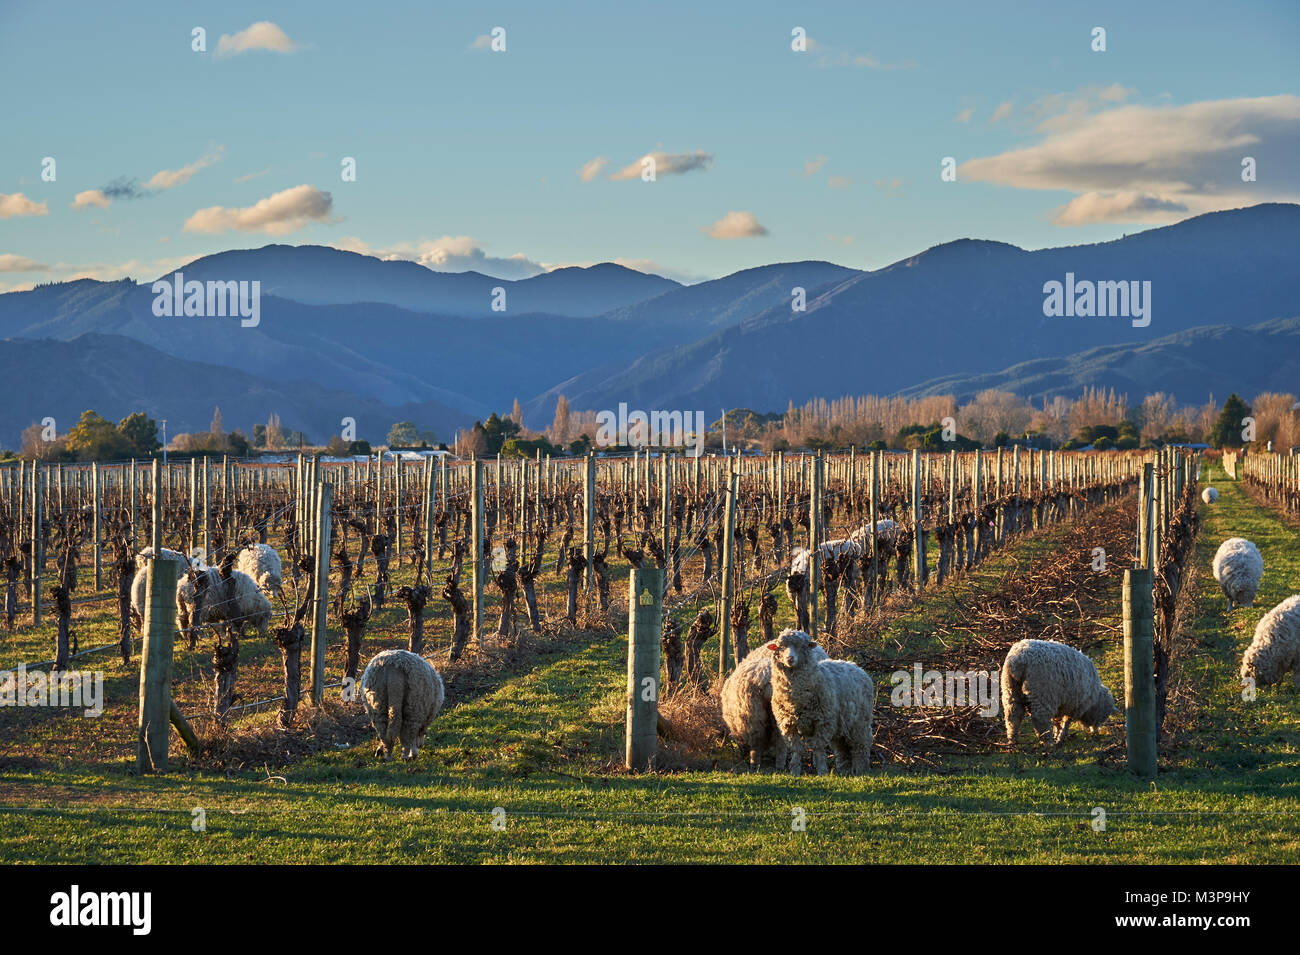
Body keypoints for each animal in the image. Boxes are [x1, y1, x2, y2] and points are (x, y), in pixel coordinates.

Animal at [717, 639, 826, 774]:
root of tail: (767, 677)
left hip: (755, 714)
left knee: (762, 742)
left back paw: (758, 764)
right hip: (768, 713)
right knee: (778, 739)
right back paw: (776, 764)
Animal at [764, 628, 868, 779]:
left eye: (802, 646)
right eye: (781, 647)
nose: (790, 658)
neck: (797, 699)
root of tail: (854, 665)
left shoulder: (822, 722)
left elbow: (818, 748)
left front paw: (822, 771)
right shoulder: (788, 724)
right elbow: (797, 749)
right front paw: (795, 771)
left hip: (860, 723)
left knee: (860, 745)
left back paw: (860, 769)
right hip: (841, 724)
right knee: (841, 746)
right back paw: (844, 770)